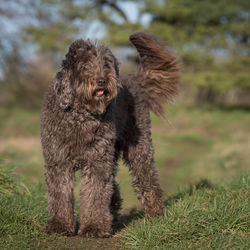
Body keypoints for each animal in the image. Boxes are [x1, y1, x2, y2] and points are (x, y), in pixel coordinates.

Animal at [42, 32, 181, 237]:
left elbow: (95, 192)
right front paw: (59, 225)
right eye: (84, 64)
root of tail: (134, 79)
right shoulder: (59, 161)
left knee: (147, 177)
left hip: (138, 147)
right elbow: (60, 193)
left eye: (106, 63)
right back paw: (113, 214)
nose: (101, 80)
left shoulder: (97, 162)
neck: (80, 115)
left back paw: (156, 212)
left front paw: (94, 226)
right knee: (113, 185)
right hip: (112, 152)